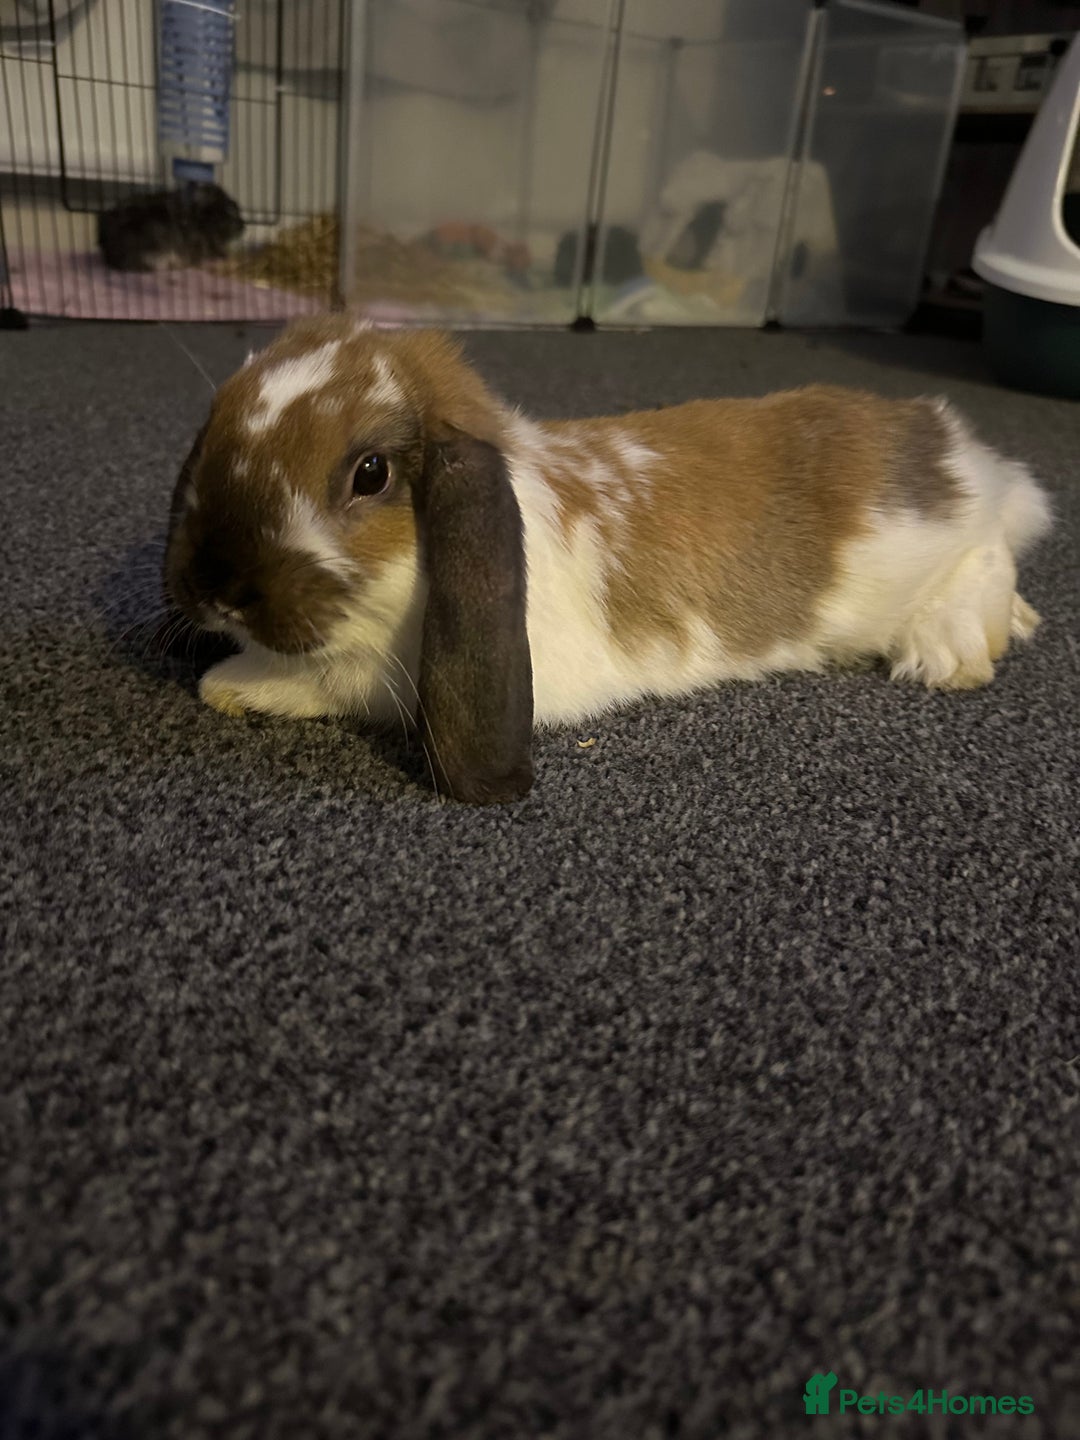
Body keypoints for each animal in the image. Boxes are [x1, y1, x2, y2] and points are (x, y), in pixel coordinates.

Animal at [163, 313, 1052, 804]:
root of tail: (946, 436)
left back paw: (957, 650)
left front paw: (229, 683)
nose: (216, 587)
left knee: (995, 543)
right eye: (210, 429)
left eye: (370, 473)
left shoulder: (386, 677)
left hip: (930, 549)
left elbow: (323, 682)